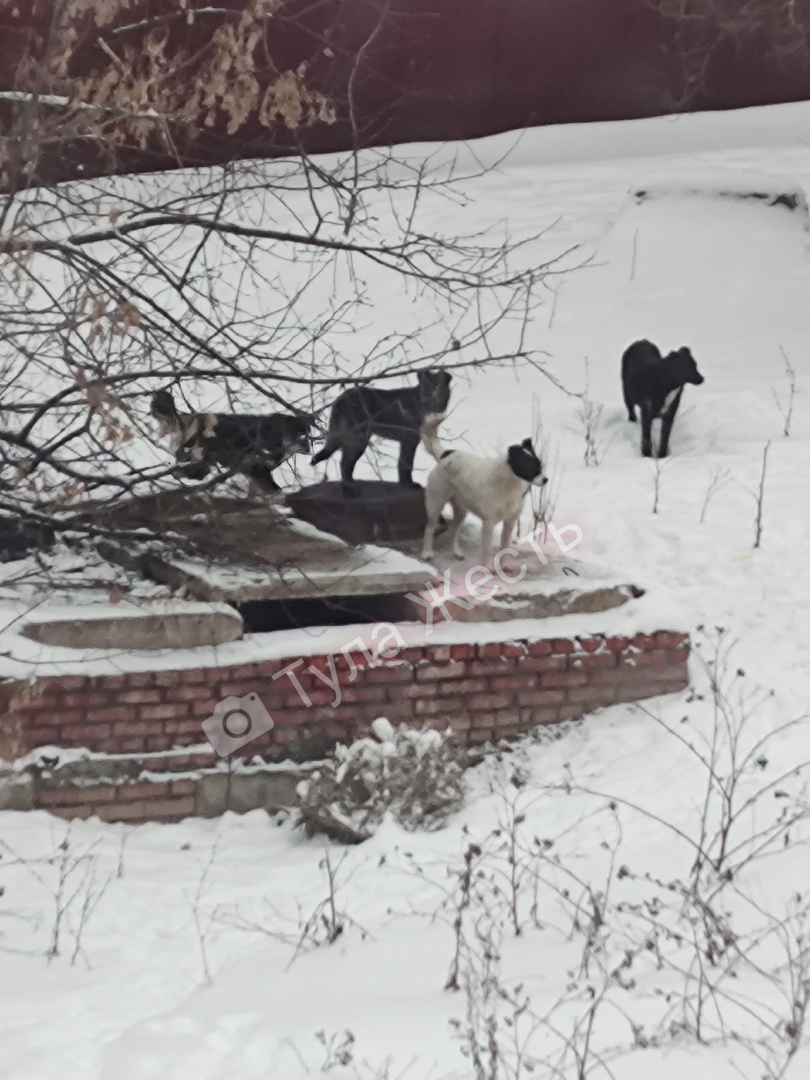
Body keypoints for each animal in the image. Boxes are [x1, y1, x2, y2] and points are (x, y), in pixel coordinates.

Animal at [311, 369, 453, 492]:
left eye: (438, 383)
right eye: (427, 385)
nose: (430, 396)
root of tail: (340, 399)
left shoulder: (408, 440)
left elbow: (403, 462)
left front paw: (404, 483)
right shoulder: (409, 439)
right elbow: (407, 463)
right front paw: (409, 484)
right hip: (358, 437)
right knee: (345, 462)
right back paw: (350, 487)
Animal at [419, 412, 552, 561]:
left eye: (539, 465)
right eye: (529, 466)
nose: (546, 480)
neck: (509, 485)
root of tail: (444, 455)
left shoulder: (510, 522)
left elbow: (505, 547)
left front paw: (504, 565)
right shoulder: (489, 522)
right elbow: (487, 550)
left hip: (461, 509)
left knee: (454, 528)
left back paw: (456, 552)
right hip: (436, 503)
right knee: (430, 528)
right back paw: (426, 553)